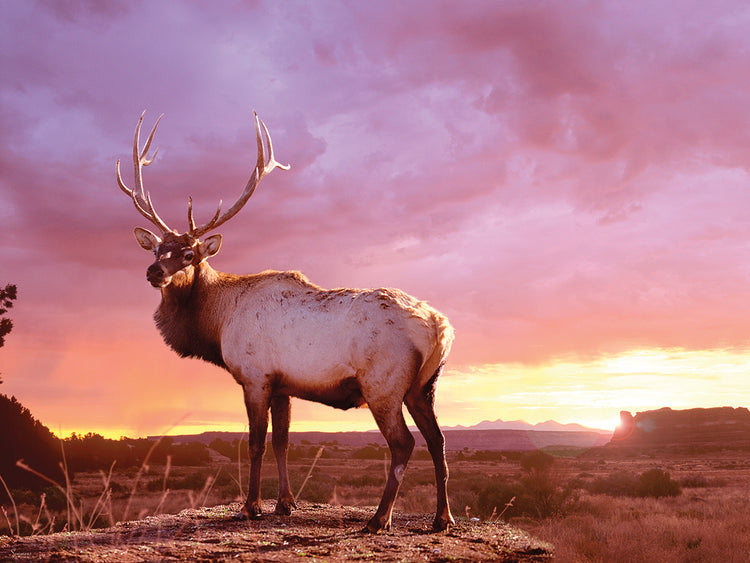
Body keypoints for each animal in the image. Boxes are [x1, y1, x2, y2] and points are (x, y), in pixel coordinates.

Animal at [116, 111, 455, 533]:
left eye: (189, 254)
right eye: (158, 249)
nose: (153, 271)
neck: (217, 323)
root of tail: (439, 328)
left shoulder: (255, 376)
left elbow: (255, 443)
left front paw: (250, 506)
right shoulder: (284, 385)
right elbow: (283, 442)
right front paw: (284, 503)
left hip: (383, 384)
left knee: (404, 443)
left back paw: (379, 518)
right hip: (424, 386)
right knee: (438, 440)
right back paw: (442, 517)